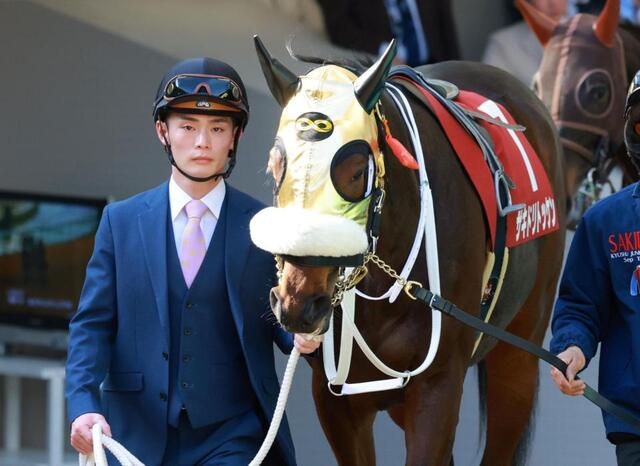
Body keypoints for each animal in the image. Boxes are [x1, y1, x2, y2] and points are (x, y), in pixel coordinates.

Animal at [250, 36, 566, 466]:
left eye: (356, 172)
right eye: (275, 166)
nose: (299, 302)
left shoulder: (438, 388)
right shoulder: (334, 400)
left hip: (517, 358)